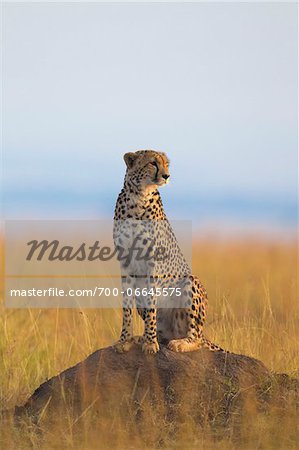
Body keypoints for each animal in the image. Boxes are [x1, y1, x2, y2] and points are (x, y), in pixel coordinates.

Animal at [113, 151, 226, 356]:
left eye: (167, 164)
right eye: (152, 163)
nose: (166, 176)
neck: (138, 197)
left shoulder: (152, 262)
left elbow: (151, 305)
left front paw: (150, 344)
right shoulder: (125, 261)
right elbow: (126, 308)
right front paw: (125, 340)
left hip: (190, 282)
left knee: (196, 338)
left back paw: (179, 343)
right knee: (164, 333)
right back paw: (142, 338)